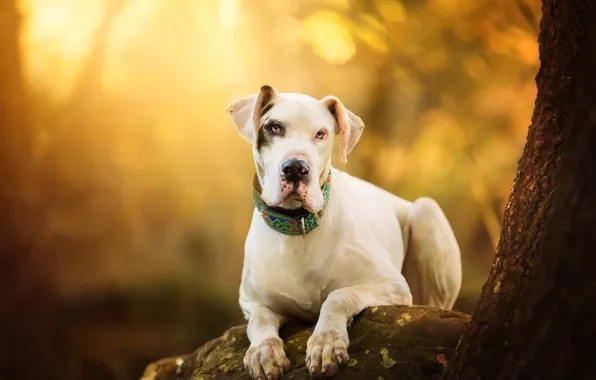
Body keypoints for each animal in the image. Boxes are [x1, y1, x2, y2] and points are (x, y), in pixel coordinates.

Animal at [226, 86, 464, 380]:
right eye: (275, 127)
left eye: (321, 133)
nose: (296, 168)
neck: (298, 227)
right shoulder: (253, 301)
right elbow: (258, 321)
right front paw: (263, 351)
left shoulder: (391, 285)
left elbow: (338, 296)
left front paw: (326, 342)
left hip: (426, 214)